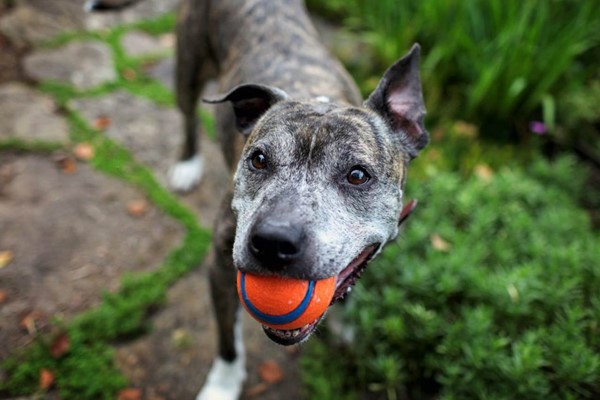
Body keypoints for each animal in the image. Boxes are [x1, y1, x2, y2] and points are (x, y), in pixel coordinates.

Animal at [88, 0, 426, 396]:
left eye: (357, 175)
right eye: (259, 159)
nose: (274, 242)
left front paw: (346, 330)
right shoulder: (219, 270)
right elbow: (227, 341)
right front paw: (222, 386)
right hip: (187, 69)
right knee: (187, 116)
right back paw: (187, 162)